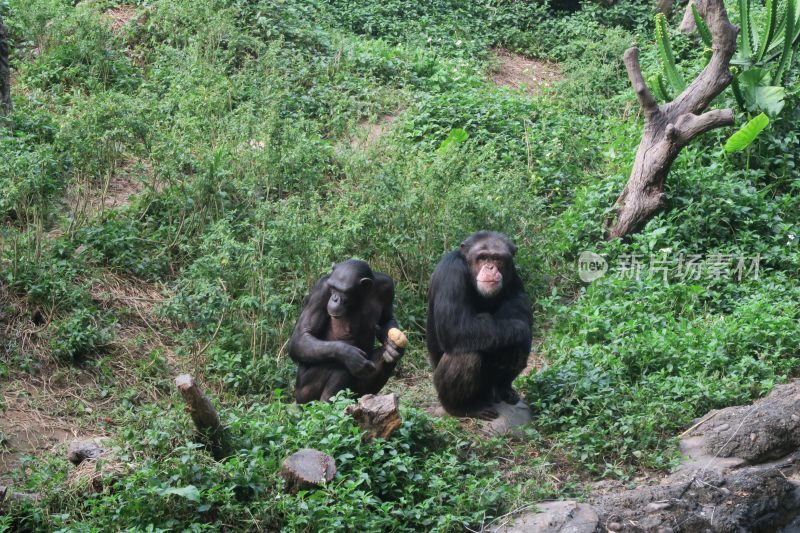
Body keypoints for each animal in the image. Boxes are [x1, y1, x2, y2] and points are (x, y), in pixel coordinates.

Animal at [290, 258, 406, 404]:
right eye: (333, 288)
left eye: (343, 292)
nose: (334, 298)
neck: (360, 296)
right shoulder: (320, 290)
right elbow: (302, 335)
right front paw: (350, 354)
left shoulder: (387, 286)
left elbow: (386, 320)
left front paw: (393, 347)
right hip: (304, 393)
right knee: (341, 365)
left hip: (357, 393)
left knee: (386, 359)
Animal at [424, 231, 532, 418]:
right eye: (482, 258)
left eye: (497, 259)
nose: (490, 268)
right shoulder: (451, 272)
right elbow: (455, 328)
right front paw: (521, 330)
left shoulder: (513, 272)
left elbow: (518, 301)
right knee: (467, 354)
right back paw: (463, 407)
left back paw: (505, 390)